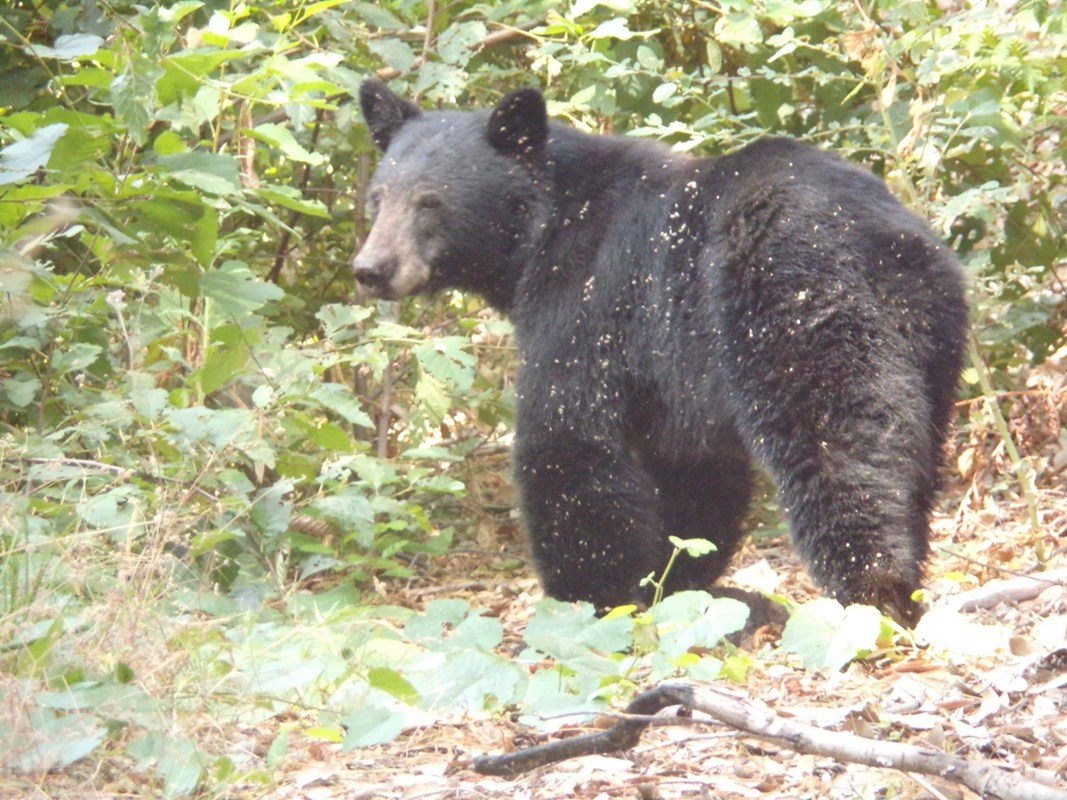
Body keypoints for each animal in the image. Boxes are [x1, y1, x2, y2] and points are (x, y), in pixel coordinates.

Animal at [353, 81, 967, 625]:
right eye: (378, 197)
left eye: (430, 201)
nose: (371, 269)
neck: (543, 229)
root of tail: (875, 239)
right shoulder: (674, 379)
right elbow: (691, 474)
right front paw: (675, 583)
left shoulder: (586, 304)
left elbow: (568, 439)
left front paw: (590, 599)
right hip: (929, 332)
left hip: (795, 309)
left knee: (840, 446)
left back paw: (872, 592)